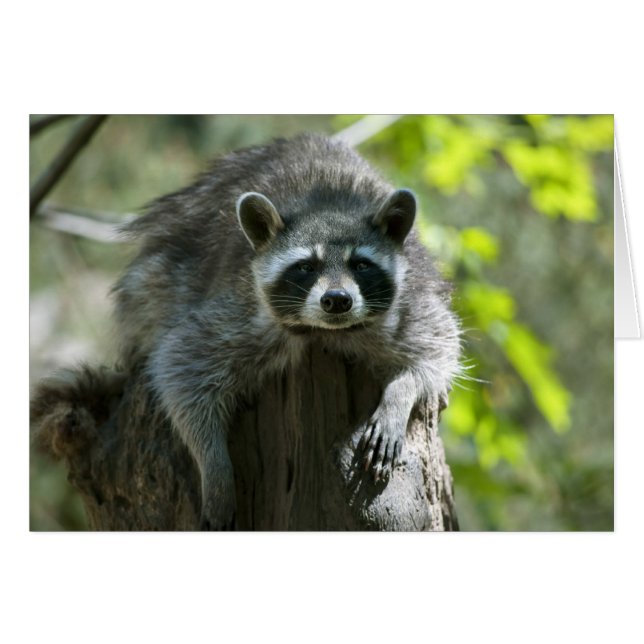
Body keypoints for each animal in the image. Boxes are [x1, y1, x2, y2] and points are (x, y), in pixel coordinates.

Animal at [114, 133, 461, 530]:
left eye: (360, 264)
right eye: (306, 266)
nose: (337, 300)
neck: (322, 332)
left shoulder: (410, 302)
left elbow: (436, 350)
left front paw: (398, 397)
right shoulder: (239, 311)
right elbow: (181, 369)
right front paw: (214, 464)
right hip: (158, 273)